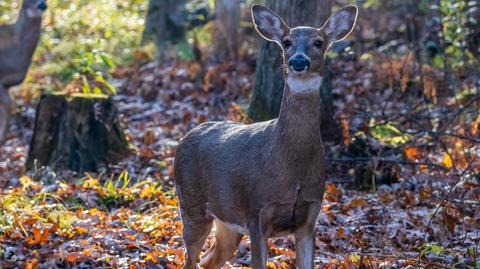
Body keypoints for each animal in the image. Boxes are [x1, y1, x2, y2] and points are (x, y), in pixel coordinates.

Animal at [174, 4, 358, 268]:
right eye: (287, 41)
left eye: (319, 42)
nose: (298, 61)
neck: (292, 169)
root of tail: (185, 137)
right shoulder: (256, 212)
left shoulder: (310, 217)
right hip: (191, 204)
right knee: (190, 259)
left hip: (227, 221)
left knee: (209, 259)